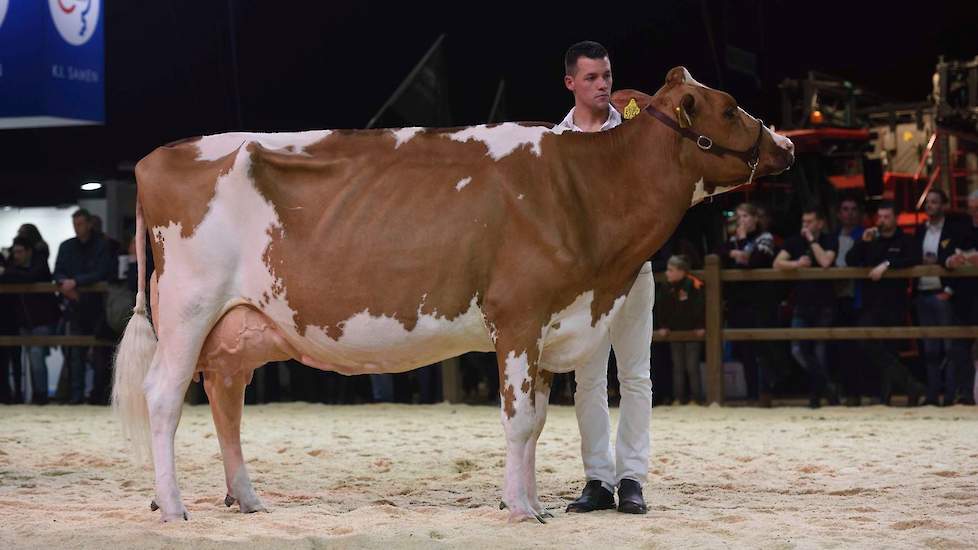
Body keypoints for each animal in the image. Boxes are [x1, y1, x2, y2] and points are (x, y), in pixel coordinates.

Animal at [112, 67, 792, 524]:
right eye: (730, 108)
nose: (784, 144)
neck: (582, 188)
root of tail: (154, 159)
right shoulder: (518, 316)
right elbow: (519, 421)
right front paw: (520, 510)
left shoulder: (551, 325)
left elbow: (537, 422)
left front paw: (531, 499)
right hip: (188, 309)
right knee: (163, 398)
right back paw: (173, 507)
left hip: (236, 328)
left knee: (225, 399)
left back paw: (248, 498)